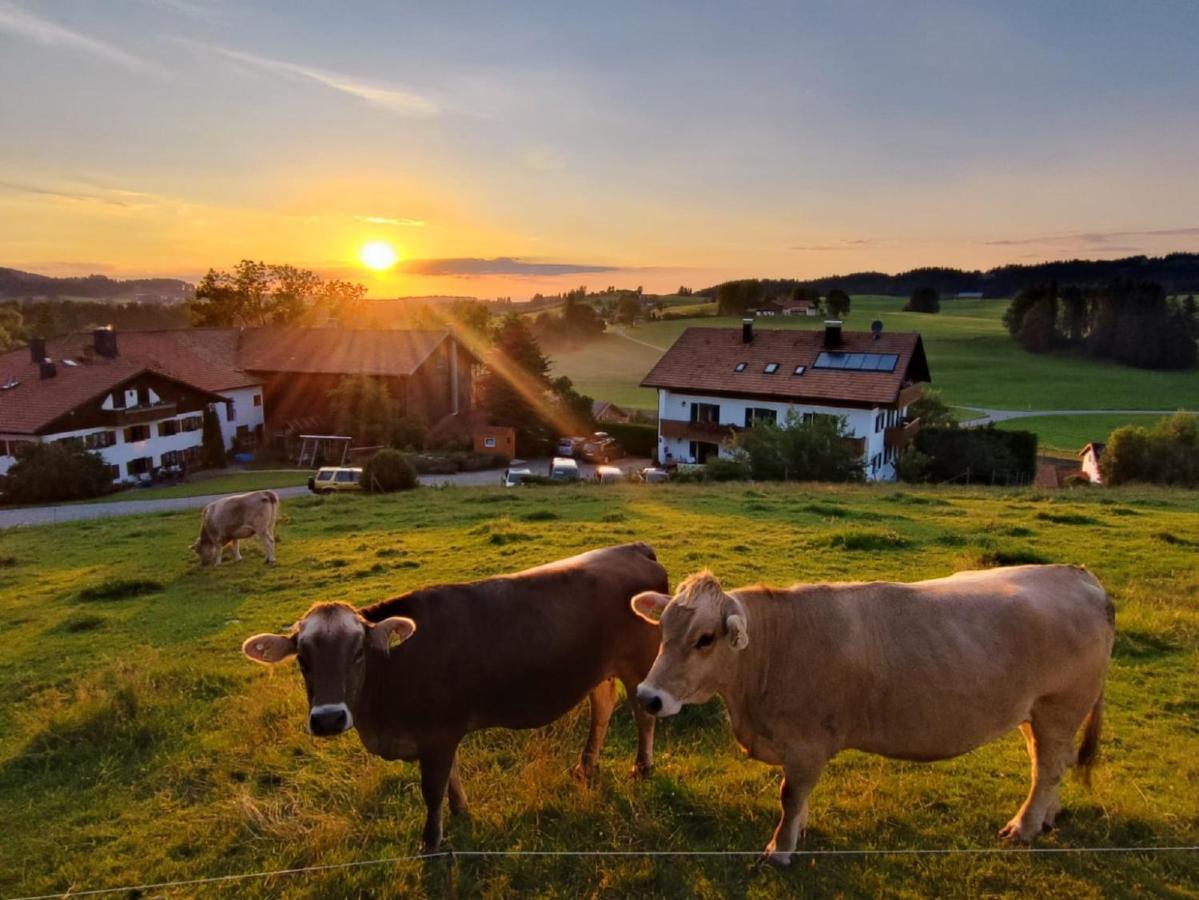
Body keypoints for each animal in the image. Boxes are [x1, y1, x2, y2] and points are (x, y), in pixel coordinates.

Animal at [240, 541, 676, 853]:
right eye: (303, 659)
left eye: (358, 652)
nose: (328, 719)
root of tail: (632, 548)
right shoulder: (440, 737)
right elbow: (451, 778)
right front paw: (461, 811)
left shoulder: (438, 734)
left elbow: (432, 789)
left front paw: (431, 842)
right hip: (598, 670)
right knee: (602, 707)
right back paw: (585, 766)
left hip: (639, 661)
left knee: (643, 715)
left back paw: (642, 766)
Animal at [637, 563, 1112, 867]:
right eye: (662, 630)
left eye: (704, 639)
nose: (648, 697)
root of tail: (1077, 576)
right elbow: (800, 797)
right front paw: (800, 830)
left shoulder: (806, 745)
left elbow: (790, 795)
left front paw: (781, 849)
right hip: (1036, 713)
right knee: (1049, 763)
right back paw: (1046, 817)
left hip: (1059, 706)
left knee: (1047, 768)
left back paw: (1024, 828)